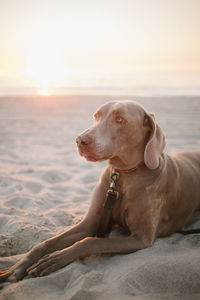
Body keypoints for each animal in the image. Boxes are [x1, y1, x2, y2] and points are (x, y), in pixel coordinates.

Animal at [0, 101, 200, 284]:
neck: (124, 176)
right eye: (96, 116)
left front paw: (55, 259)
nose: (80, 140)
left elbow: (91, 241)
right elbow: (44, 244)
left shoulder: (142, 238)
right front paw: (16, 268)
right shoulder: (90, 222)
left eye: (120, 120)